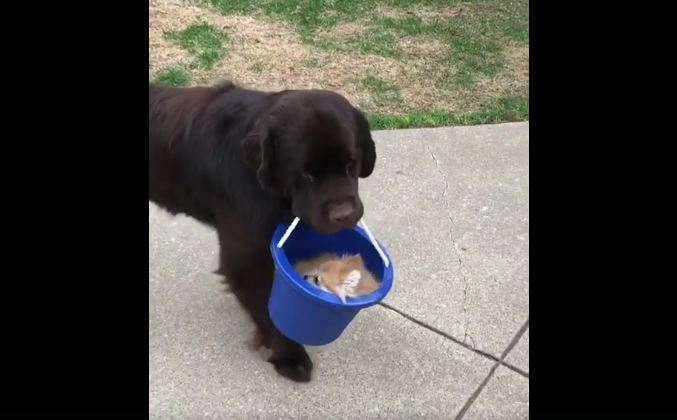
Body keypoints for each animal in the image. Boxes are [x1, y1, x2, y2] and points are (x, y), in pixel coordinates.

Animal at [149, 80, 378, 382]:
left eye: (351, 164)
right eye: (306, 175)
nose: (343, 216)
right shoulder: (246, 257)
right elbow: (270, 311)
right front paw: (290, 356)